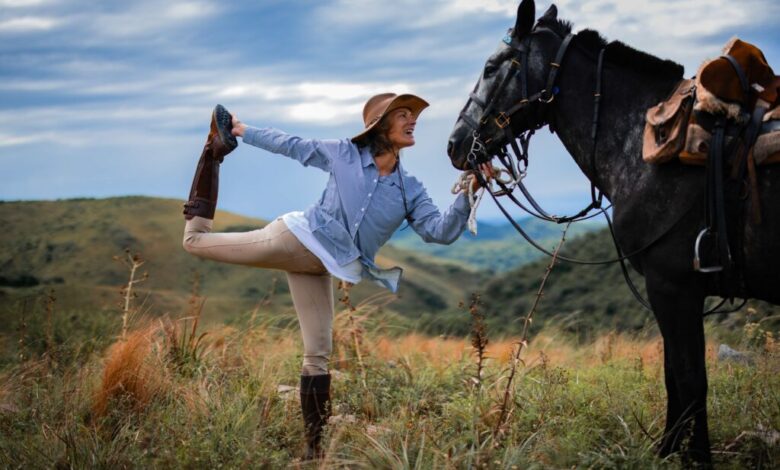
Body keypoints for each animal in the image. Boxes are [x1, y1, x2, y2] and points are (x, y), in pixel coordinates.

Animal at [447, 0, 780, 465]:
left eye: (492, 67)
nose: (455, 144)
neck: (642, 144)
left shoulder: (673, 287)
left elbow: (689, 380)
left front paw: (693, 456)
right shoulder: (673, 294)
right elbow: (675, 376)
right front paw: (668, 452)